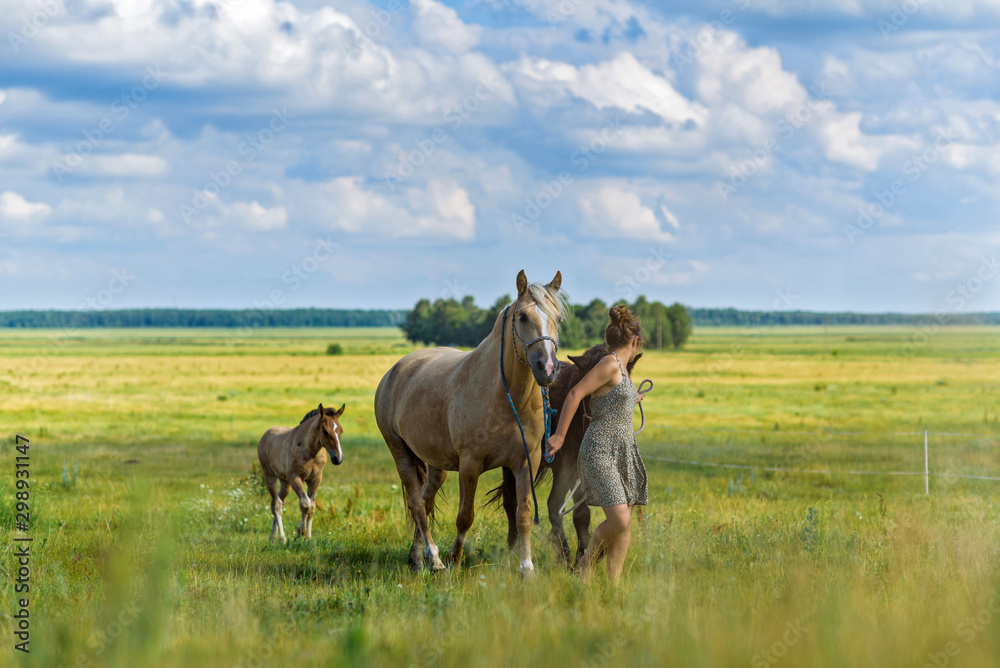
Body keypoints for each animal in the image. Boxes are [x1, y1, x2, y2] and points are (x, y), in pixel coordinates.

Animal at [256, 404, 346, 540]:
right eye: (325, 431)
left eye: (341, 431)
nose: (338, 458)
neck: (310, 451)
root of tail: (265, 436)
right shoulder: (295, 477)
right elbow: (305, 503)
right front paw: (300, 533)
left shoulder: (315, 478)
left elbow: (312, 506)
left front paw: (307, 536)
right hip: (269, 475)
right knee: (276, 504)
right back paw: (282, 538)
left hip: (285, 482)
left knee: (280, 502)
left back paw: (273, 537)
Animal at [376, 270, 568, 576]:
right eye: (522, 317)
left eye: (558, 318)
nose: (547, 368)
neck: (506, 397)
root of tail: (396, 370)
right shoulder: (470, 465)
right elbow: (465, 516)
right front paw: (455, 559)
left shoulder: (526, 462)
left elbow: (523, 514)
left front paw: (526, 568)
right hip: (400, 451)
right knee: (417, 504)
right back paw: (435, 558)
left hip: (436, 464)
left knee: (425, 502)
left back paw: (418, 558)